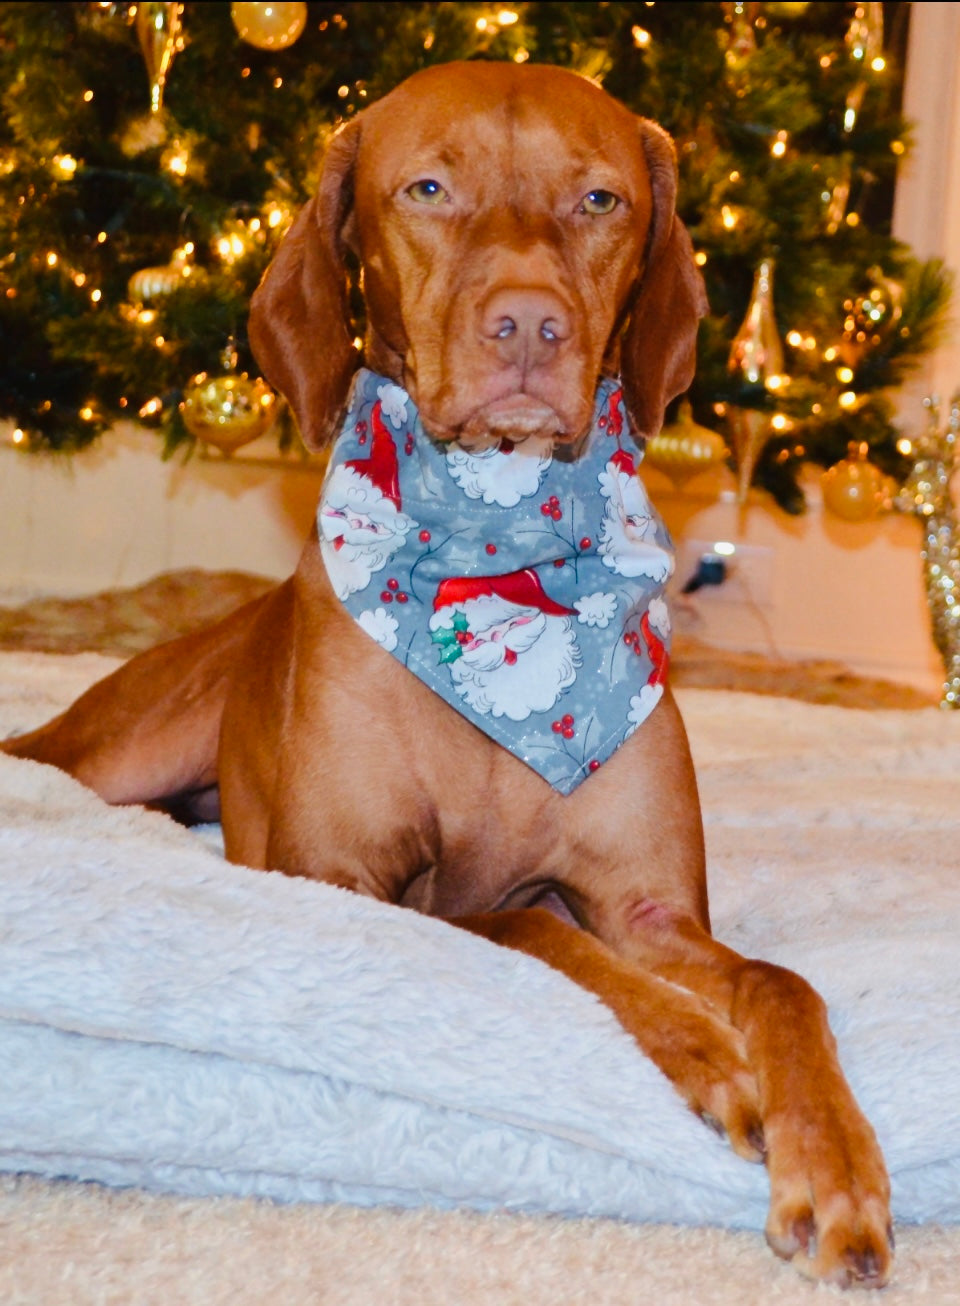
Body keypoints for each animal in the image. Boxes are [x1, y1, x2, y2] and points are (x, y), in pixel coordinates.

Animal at [5, 61, 893, 1285]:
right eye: (427, 188)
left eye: (601, 200)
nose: (529, 322)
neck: (499, 559)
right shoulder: (351, 882)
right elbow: (519, 922)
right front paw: (707, 1051)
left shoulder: (651, 905)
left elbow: (782, 982)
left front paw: (837, 1163)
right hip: (123, 746)